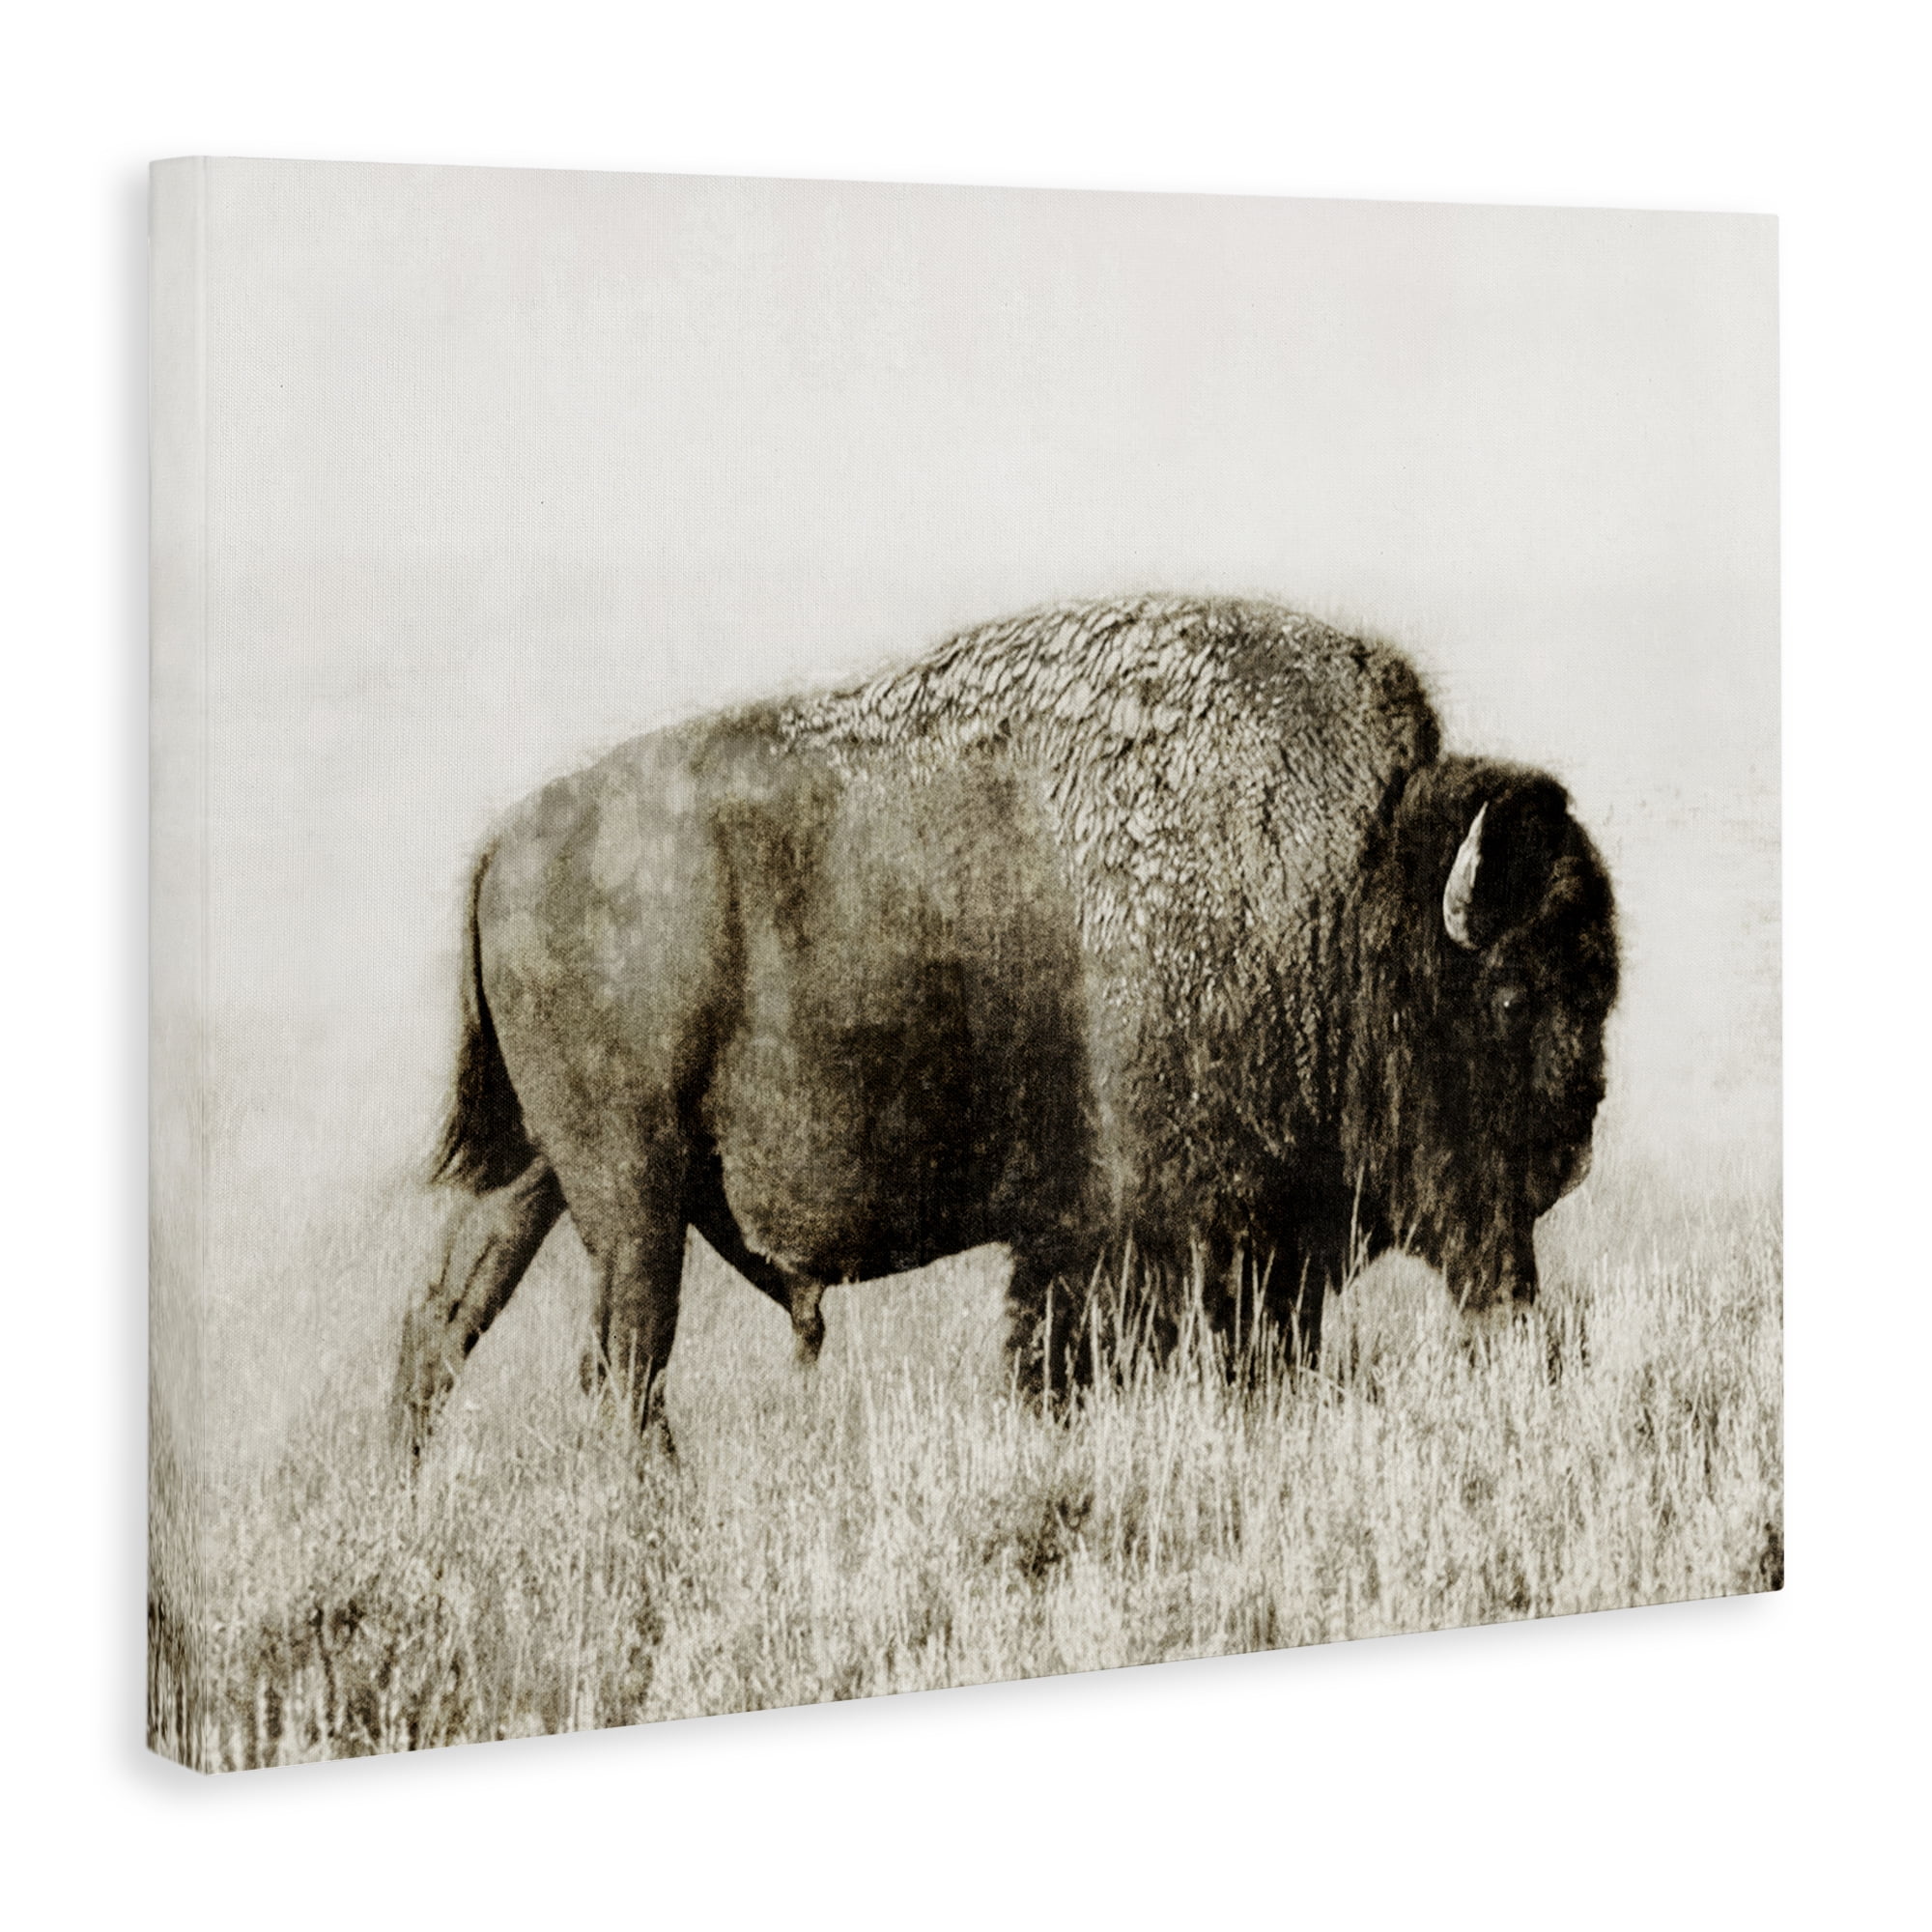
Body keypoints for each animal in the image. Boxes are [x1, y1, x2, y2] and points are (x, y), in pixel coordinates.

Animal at [397, 594, 1618, 1449]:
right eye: (1511, 993)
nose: (1569, 1149)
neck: (1344, 889)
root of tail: (504, 845)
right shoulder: (1178, 1242)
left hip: (537, 1176)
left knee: (442, 1327)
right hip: (628, 1188)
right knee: (622, 1361)